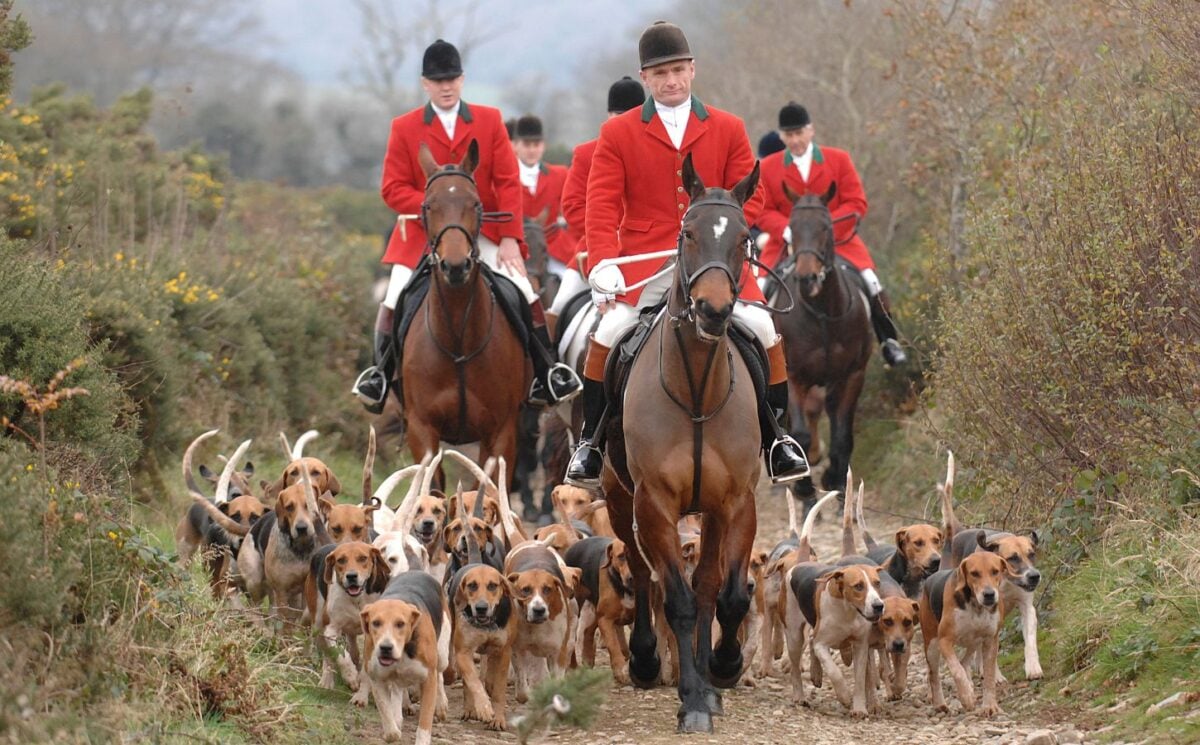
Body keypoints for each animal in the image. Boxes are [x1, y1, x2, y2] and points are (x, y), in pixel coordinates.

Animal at [398, 138, 530, 472]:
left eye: (476, 204)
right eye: (427, 206)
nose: (456, 266)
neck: (457, 338)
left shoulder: (500, 433)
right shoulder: (422, 431)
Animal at [600, 155, 758, 734]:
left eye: (744, 237)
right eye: (688, 233)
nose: (713, 310)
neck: (695, 391)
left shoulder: (735, 502)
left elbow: (725, 595)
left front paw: (721, 670)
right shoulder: (656, 504)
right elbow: (679, 599)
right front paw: (691, 699)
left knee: (709, 583)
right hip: (620, 498)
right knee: (642, 571)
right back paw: (647, 660)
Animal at [772, 183, 868, 508]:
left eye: (826, 227)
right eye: (791, 228)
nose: (807, 277)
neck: (823, 314)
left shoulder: (852, 375)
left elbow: (843, 436)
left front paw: (835, 482)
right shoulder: (793, 377)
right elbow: (799, 433)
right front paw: (805, 489)